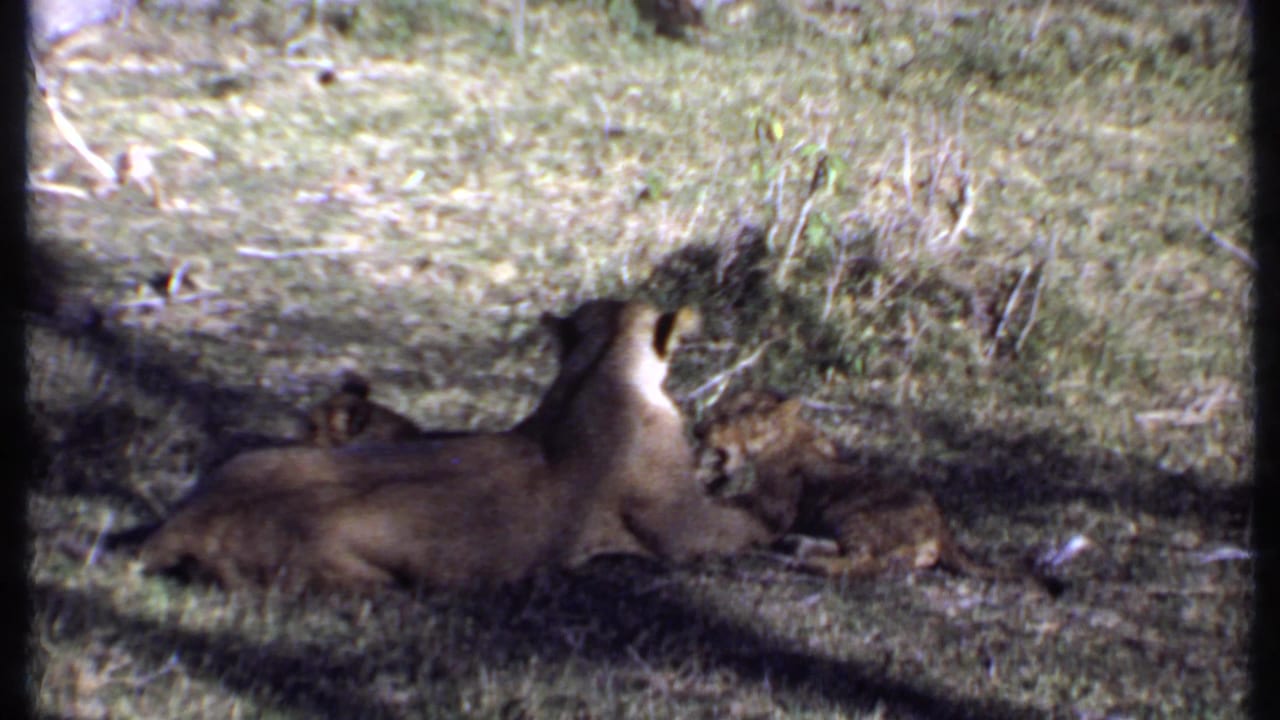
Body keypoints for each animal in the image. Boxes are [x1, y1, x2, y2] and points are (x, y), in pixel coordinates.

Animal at [139, 300, 771, 591]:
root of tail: (187, 522)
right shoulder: (681, 529)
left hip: (263, 455)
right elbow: (747, 524)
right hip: (353, 576)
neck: (599, 368)